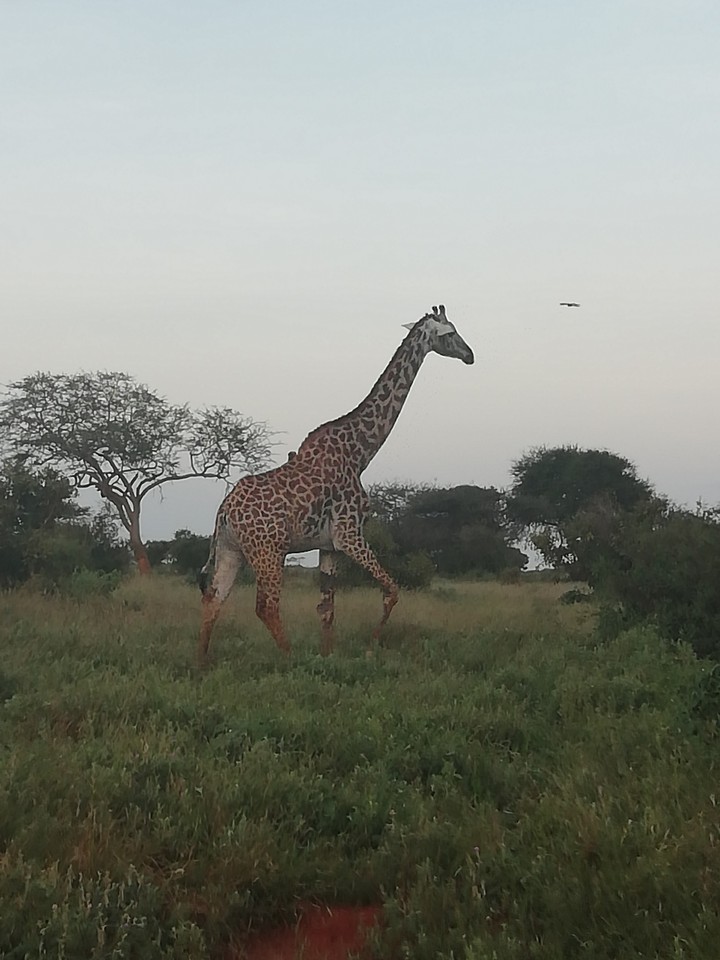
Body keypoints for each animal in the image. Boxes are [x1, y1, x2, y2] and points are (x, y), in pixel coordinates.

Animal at [198, 304, 474, 663]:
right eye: (451, 333)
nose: (470, 355)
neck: (360, 451)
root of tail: (224, 511)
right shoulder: (349, 534)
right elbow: (392, 590)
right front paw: (370, 647)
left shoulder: (328, 545)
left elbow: (327, 609)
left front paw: (328, 657)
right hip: (269, 550)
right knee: (265, 606)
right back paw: (290, 658)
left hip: (231, 551)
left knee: (213, 598)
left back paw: (201, 663)